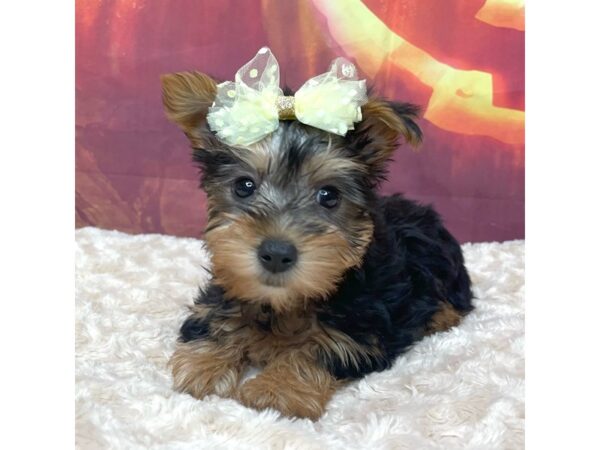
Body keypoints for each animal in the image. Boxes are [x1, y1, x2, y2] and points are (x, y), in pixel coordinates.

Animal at [159, 47, 474, 420]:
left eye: (329, 195)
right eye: (244, 186)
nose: (276, 253)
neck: (286, 303)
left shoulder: (360, 329)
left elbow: (319, 348)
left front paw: (276, 389)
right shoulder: (226, 286)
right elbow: (212, 315)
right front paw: (204, 364)